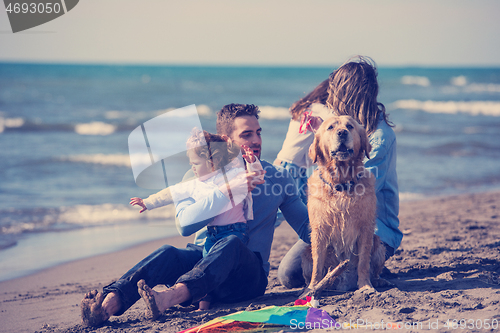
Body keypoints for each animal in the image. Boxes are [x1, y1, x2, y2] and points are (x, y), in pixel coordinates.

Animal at [300, 115, 386, 292]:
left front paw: (365, 286)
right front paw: (312, 288)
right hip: (305, 253)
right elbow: (317, 264)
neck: (341, 184)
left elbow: (363, 262)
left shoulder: (366, 227)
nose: (342, 133)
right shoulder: (319, 229)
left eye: (350, 126)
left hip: (379, 244)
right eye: (331, 127)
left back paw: (378, 280)